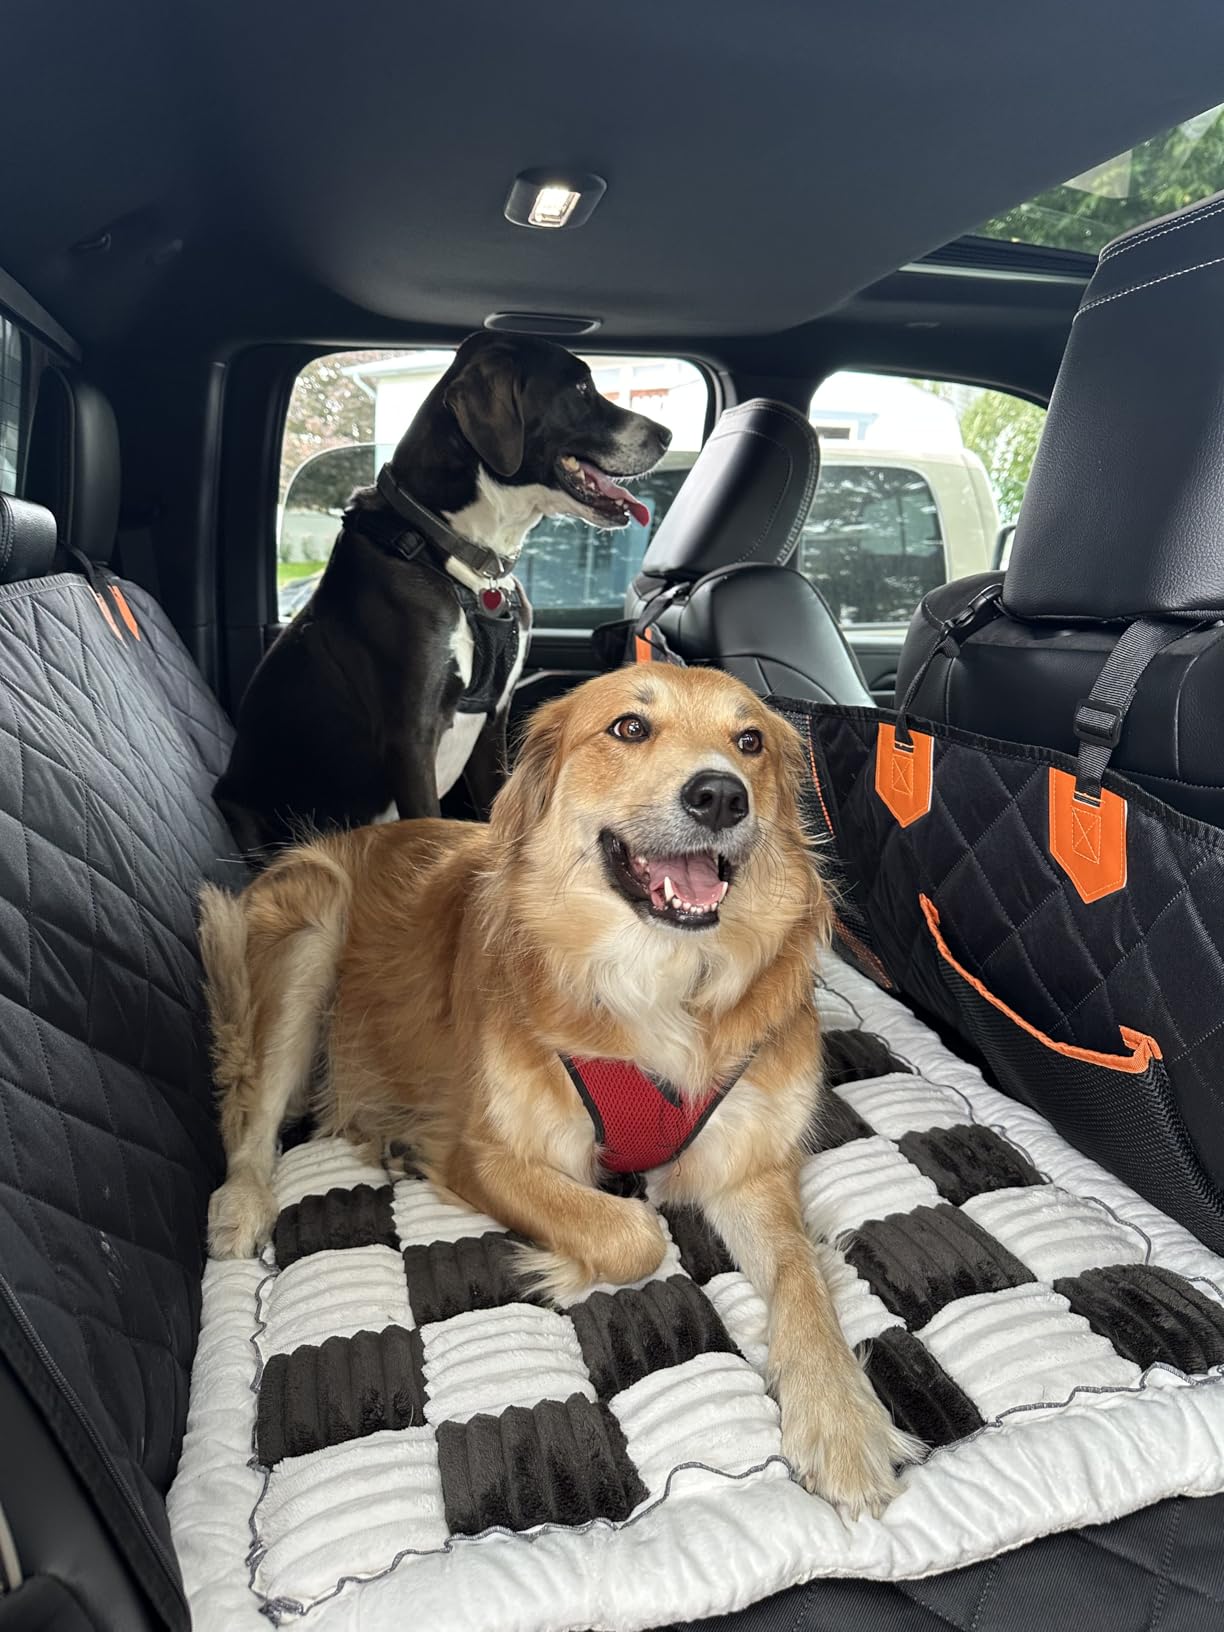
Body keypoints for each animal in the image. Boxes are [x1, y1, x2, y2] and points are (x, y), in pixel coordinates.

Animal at [199, 663, 919, 1514]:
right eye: (630, 728)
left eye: (750, 742)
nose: (721, 795)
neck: (659, 982)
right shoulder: (485, 1153)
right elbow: (632, 1234)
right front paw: (564, 1263)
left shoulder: (748, 1165)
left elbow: (802, 1277)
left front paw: (841, 1416)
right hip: (312, 931)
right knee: (248, 1109)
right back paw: (246, 1200)